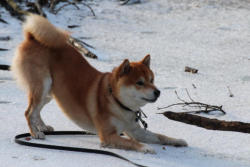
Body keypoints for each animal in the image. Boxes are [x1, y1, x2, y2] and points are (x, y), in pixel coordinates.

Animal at [12, 15, 188, 153]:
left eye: (152, 80)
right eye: (140, 83)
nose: (158, 92)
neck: (118, 103)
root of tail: (31, 38)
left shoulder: (135, 131)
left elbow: (160, 136)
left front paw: (177, 140)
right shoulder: (108, 135)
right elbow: (132, 143)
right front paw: (145, 147)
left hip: (49, 92)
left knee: (36, 112)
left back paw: (42, 127)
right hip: (42, 86)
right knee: (28, 112)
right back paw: (35, 133)